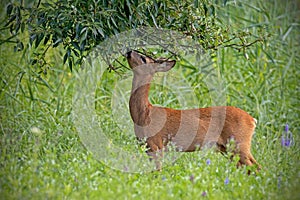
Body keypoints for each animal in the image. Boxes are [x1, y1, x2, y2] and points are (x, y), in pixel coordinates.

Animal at [125, 50, 258, 172]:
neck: (144, 114)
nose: (129, 51)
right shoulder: (148, 147)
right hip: (227, 148)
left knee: (255, 166)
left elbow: (158, 171)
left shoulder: (156, 144)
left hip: (239, 142)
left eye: (143, 58)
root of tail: (252, 120)